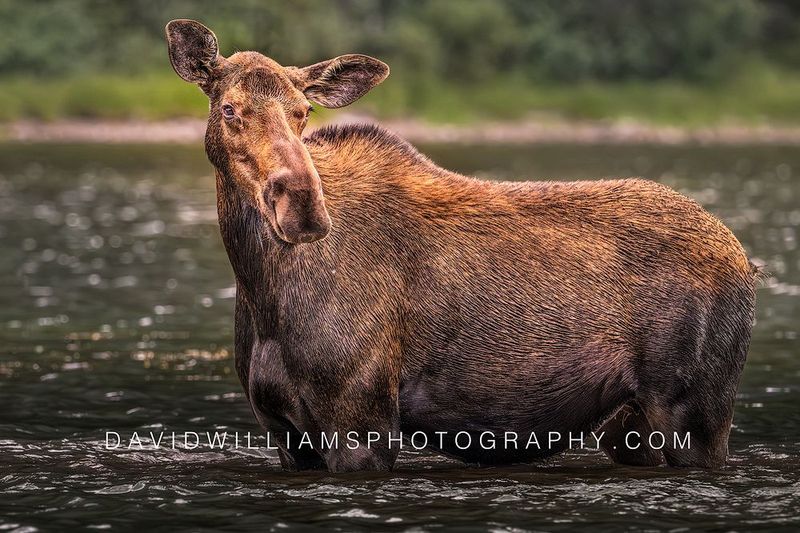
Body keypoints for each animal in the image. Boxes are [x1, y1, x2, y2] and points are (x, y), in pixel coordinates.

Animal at [166, 19, 756, 472]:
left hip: (696, 411)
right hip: (628, 425)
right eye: (229, 109)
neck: (263, 291)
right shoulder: (284, 433)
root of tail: (748, 263)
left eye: (302, 113)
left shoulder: (362, 421)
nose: (303, 205)